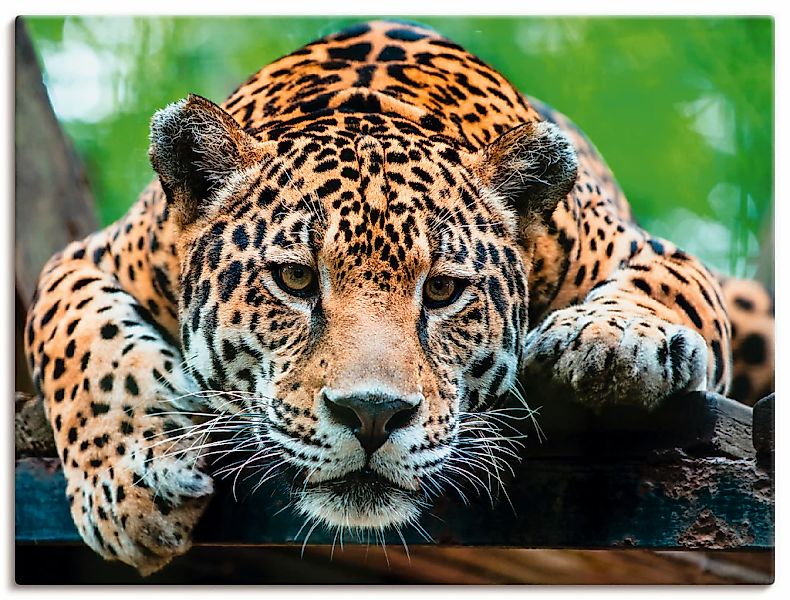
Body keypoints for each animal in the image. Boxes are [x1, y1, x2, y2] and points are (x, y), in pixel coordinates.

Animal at [24, 20, 774, 574]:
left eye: (442, 291)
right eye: (296, 280)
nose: (372, 415)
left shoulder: (647, 251)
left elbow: (666, 286)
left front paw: (611, 341)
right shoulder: (87, 257)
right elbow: (82, 343)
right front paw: (128, 486)